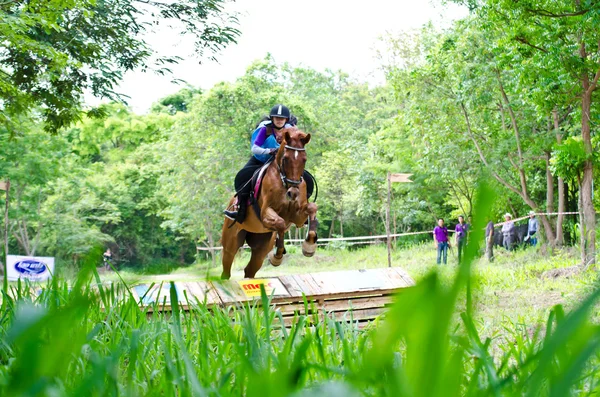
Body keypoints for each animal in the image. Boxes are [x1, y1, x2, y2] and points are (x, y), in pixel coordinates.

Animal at [220, 127, 318, 278]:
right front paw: (277, 256)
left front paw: (309, 247)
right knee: (227, 267)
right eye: (285, 158)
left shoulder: (297, 217)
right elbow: (280, 223)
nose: (293, 193)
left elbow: (312, 208)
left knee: (250, 269)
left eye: (304, 159)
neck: (283, 181)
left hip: (261, 246)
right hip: (231, 242)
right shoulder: (265, 214)